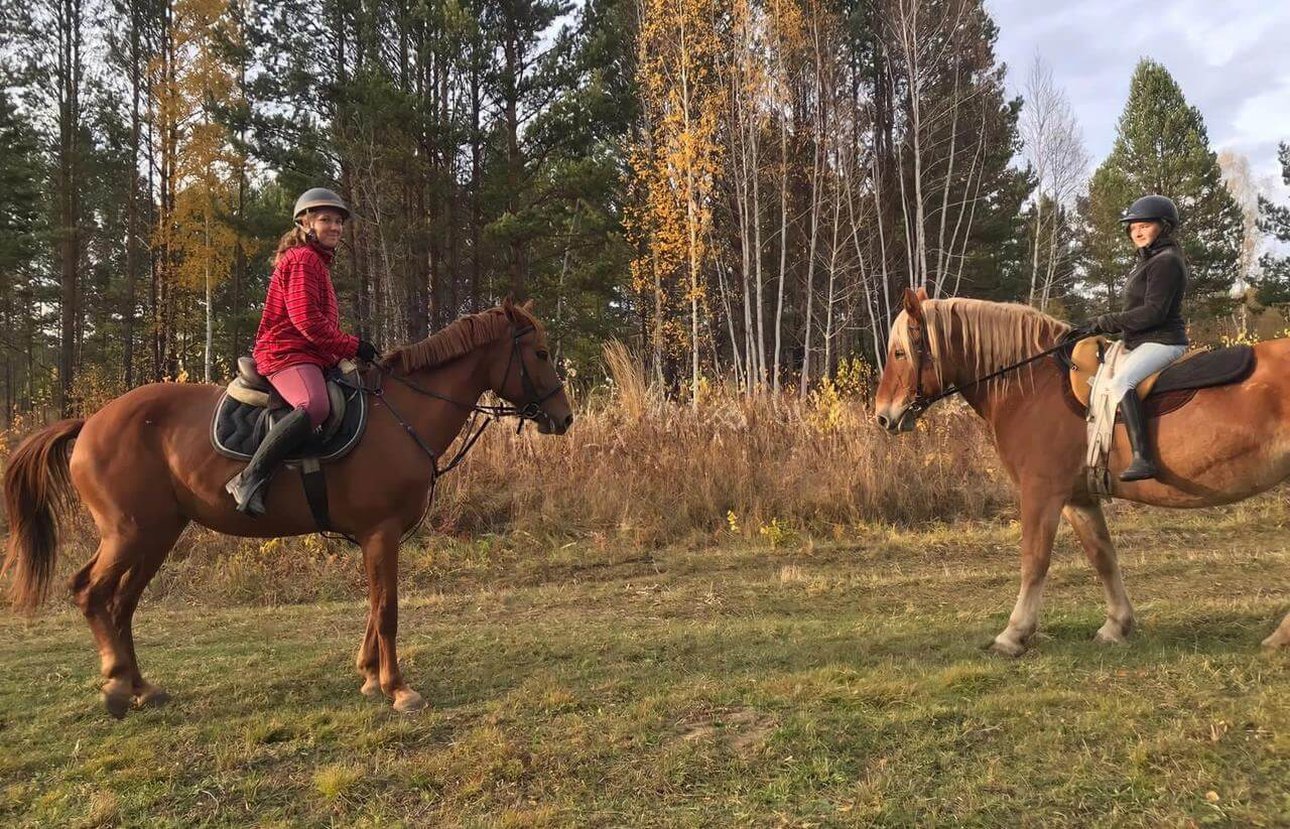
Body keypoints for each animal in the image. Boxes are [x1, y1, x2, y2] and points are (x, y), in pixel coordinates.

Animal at [2, 301, 572, 716]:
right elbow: (387, 609)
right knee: (90, 593)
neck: (401, 413)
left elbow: (373, 606)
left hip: (155, 536)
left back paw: (141, 686)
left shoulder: (374, 537)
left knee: (121, 605)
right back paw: (118, 686)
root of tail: (90, 423)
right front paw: (397, 687)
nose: (563, 418)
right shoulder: (382, 532)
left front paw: (369, 677)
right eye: (542, 354)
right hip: (129, 534)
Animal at [872, 288, 1284, 657]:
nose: (883, 416)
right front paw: (1116, 626)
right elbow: (1102, 556)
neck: (1032, 385)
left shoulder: (1042, 493)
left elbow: (1034, 560)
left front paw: (1013, 635)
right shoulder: (1078, 499)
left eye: (899, 352)